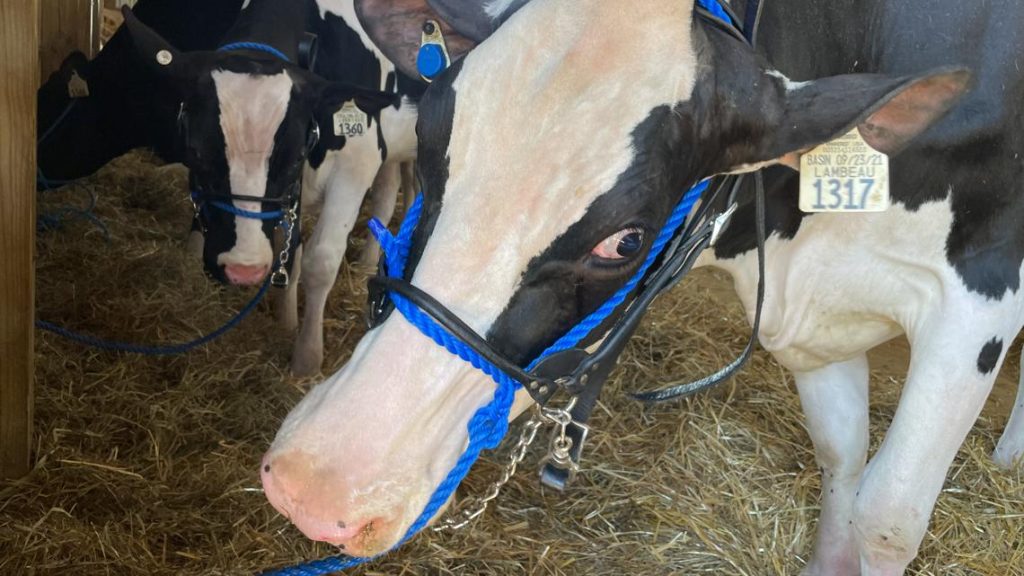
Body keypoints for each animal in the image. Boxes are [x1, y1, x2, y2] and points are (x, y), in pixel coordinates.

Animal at [120, 0, 424, 375]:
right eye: (195, 151)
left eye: (293, 157)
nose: (243, 270)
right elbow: (290, 250)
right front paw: (286, 322)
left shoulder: (357, 160)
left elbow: (320, 261)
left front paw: (307, 358)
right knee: (393, 189)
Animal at [260, 0, 1024, 574]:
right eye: (428, 135)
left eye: (625, 242)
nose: (315, 483)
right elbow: (842, 457)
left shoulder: (977, 300)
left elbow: (887, 516)